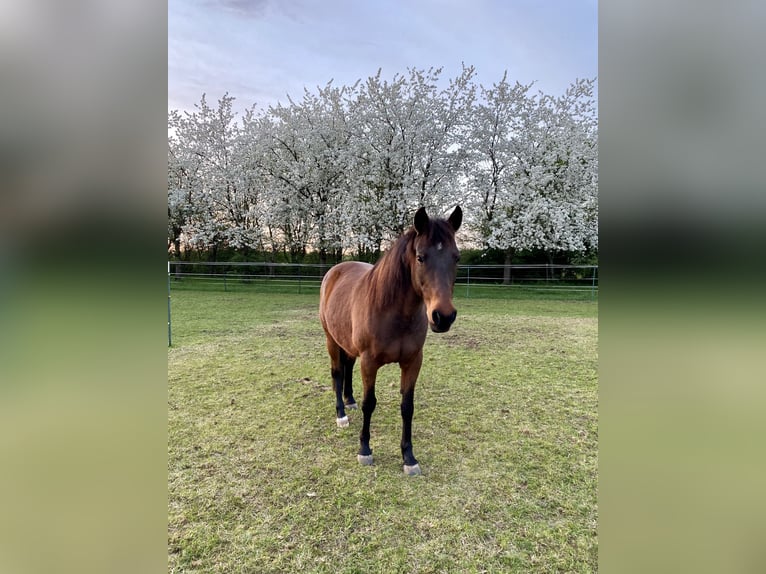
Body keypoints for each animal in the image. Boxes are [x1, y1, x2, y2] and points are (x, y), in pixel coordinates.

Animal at [319, 206, 462, 476]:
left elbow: (407, 407)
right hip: (331, 340)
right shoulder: (369, 363)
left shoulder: (413, 362)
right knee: (337, 372)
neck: (393, 312)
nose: (443, 316)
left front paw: (409, 457)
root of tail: (335, 271)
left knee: (348, 367)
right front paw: (365, 450)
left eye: (456, 257)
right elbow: (369, 403)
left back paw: (349, 400)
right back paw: (341, 414)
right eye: (420, 257)